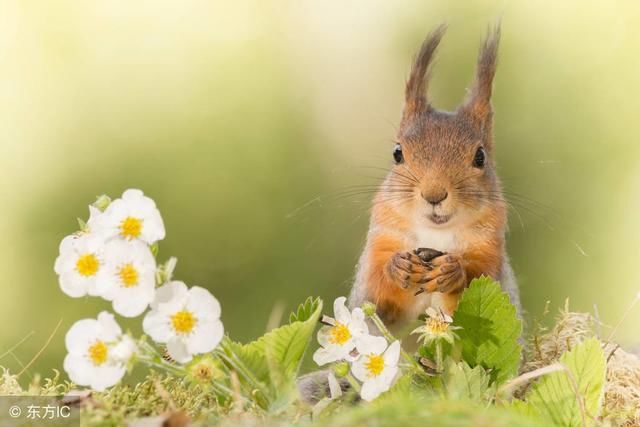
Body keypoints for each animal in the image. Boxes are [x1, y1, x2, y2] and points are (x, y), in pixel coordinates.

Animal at [350, 23, 520, 332]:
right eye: (397, 153)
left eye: (480, 157)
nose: (434, 195)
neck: (435, 234)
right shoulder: (381, 243)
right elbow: (376, 297)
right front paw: (397, 267)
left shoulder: (490, 254)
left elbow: (476, 288)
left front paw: (453, 271)